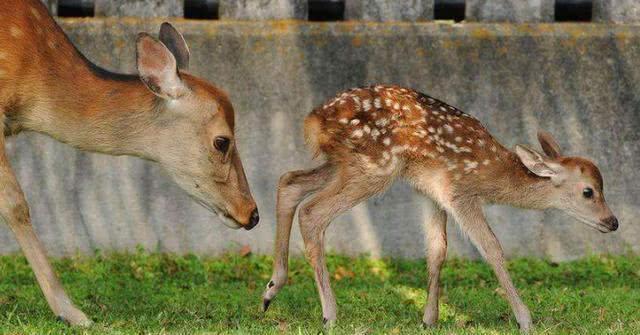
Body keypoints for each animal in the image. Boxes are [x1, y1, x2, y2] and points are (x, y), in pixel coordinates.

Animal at [262, 84, 616, 334]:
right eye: (589, 192)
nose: (612, 222)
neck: (492, 173)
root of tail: (313, 120)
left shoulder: (433, 194)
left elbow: (437, 251)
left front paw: (429, 319)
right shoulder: (459, 192)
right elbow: (491, 248)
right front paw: (525, 320)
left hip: (343, 164)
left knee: (289, 181)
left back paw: (271, 290)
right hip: (373, 167)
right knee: (313, 212)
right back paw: (329, 315)